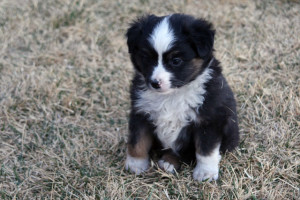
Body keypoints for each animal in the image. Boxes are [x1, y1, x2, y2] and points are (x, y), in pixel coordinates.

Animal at [124, 13, 239, 181]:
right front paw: (136, 164)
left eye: (176, 60)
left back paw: (169, 162)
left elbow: (206, 149)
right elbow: (137, 141)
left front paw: (205, 173)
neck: (172, 95)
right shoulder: (141, 112)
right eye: (147, 58)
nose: (155, 83)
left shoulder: (209, 119)